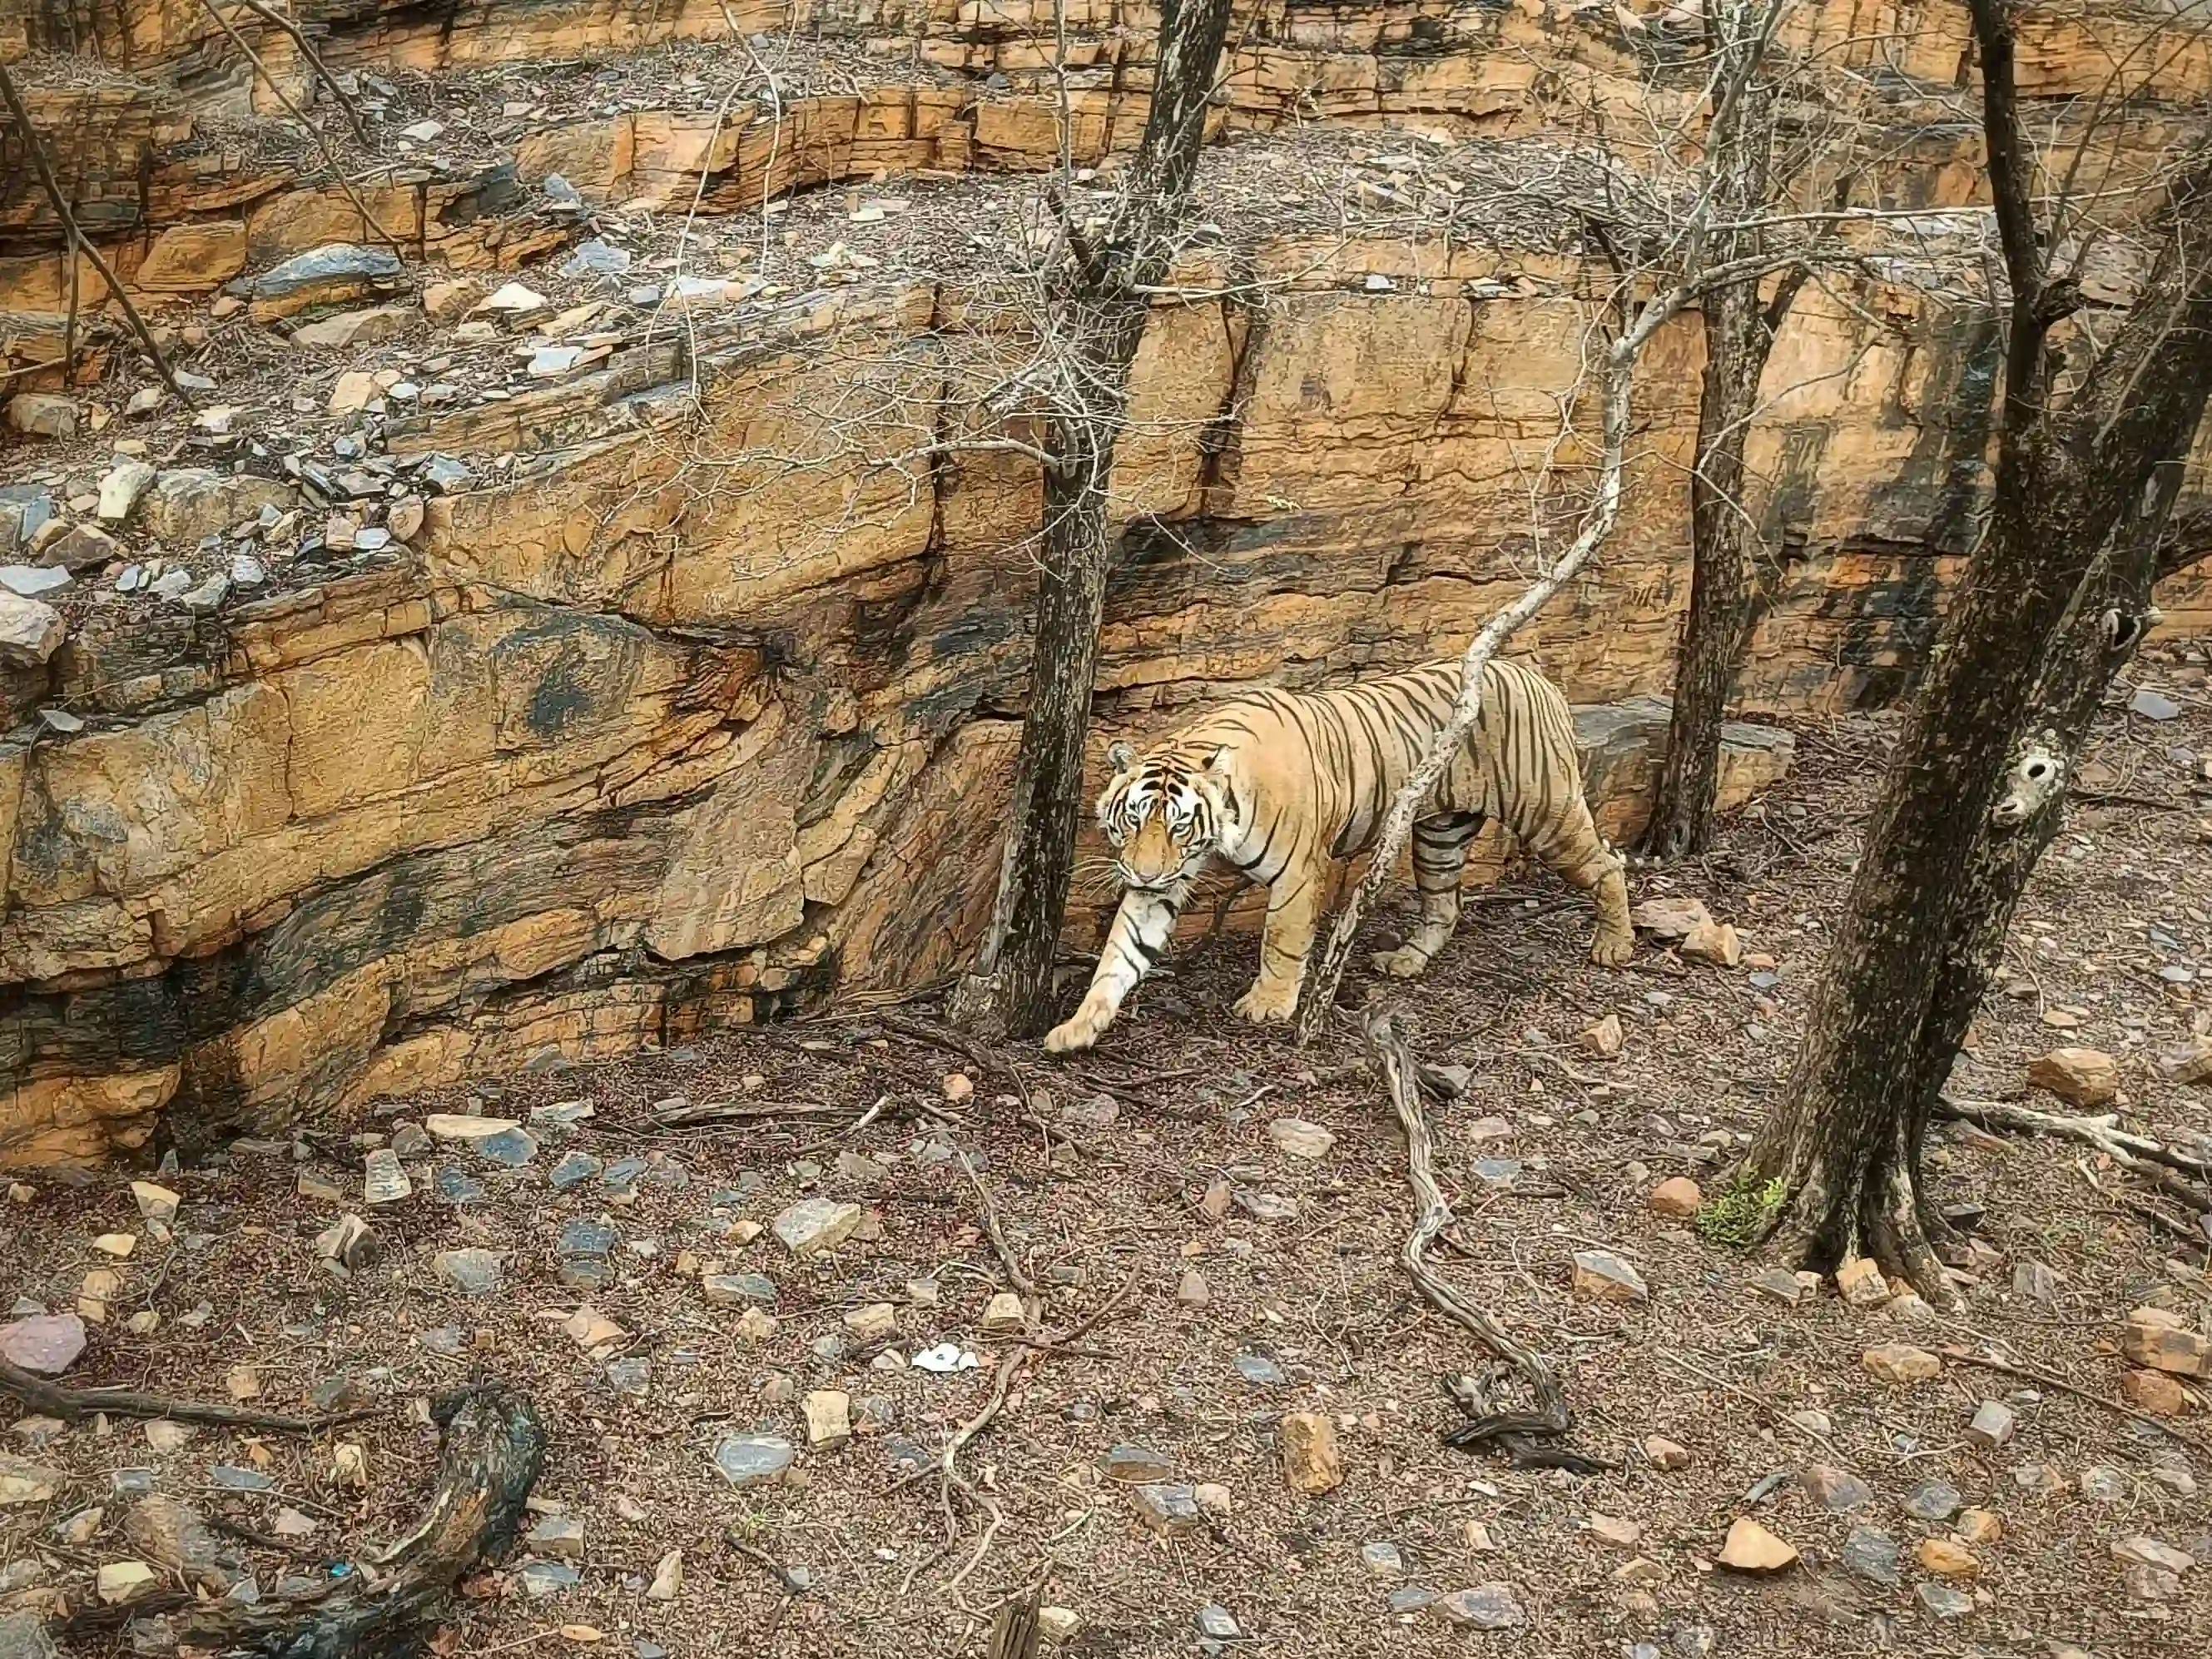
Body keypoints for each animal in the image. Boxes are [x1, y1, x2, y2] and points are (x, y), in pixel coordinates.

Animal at [1044, 658, 1636, 1057]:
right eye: (1133, 820)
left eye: (1179, 825)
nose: (1143, 872)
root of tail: (1536, 675)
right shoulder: (1162, 884)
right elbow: (1120, 955)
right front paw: (1078, 1027)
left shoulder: (1297, 874)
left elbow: (1281, 941)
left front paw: (1269, 1005)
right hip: (1439, 834)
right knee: (1446, 905)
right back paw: (1406, 961)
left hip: (1547, 813)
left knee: (1609, 865)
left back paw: (1614, 945)